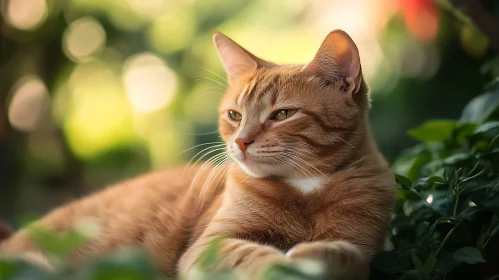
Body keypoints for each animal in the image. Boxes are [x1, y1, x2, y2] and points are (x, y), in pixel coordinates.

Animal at [0, 29, 398, 278]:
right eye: (235, 115)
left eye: (283, 114)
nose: (241, 142)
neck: (306, 189)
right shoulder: (209, 245)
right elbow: (254, 256)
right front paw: (284, 264)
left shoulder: (364, 244)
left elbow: (352, 259)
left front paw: (315, 257)